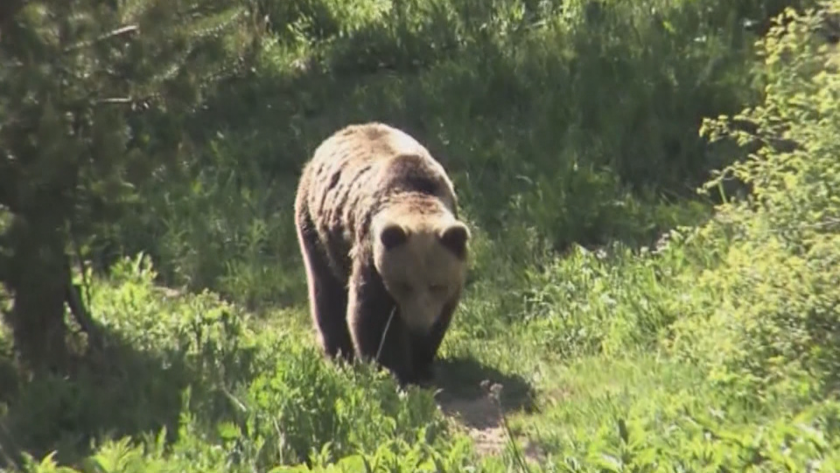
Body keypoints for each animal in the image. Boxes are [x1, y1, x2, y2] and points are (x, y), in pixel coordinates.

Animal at [294, 121, 466, 388]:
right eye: (404, 284)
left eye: (436, 285)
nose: (418, 326)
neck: (415, 195)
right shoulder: (370, 254)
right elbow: (370, 314)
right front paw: (392, 369)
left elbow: (442, 314)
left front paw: (422, 365)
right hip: (317, 228)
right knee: (326, 291)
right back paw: (339, 354)